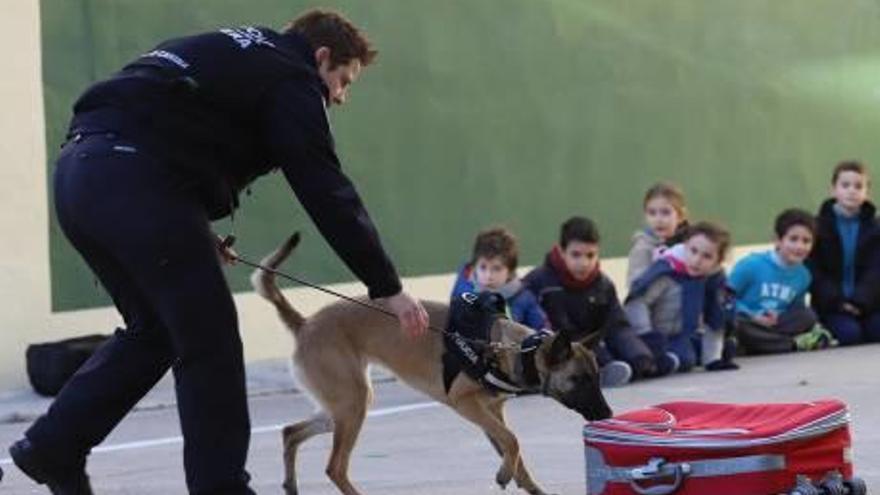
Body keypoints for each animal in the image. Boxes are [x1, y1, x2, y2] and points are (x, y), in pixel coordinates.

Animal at [251, 235, 612, 495]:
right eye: (580, 380)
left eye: (596, 377)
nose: (607, 414)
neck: (511, 348)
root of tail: (304, 324)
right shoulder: (466, 404)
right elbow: (513, 441)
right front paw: (505, 474)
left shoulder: (493, 411)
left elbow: (513, 449)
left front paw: (524, 482)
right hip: (352, 407)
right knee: (334, 467)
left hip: (342, 407)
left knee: (290, 432)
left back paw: (291, 484)